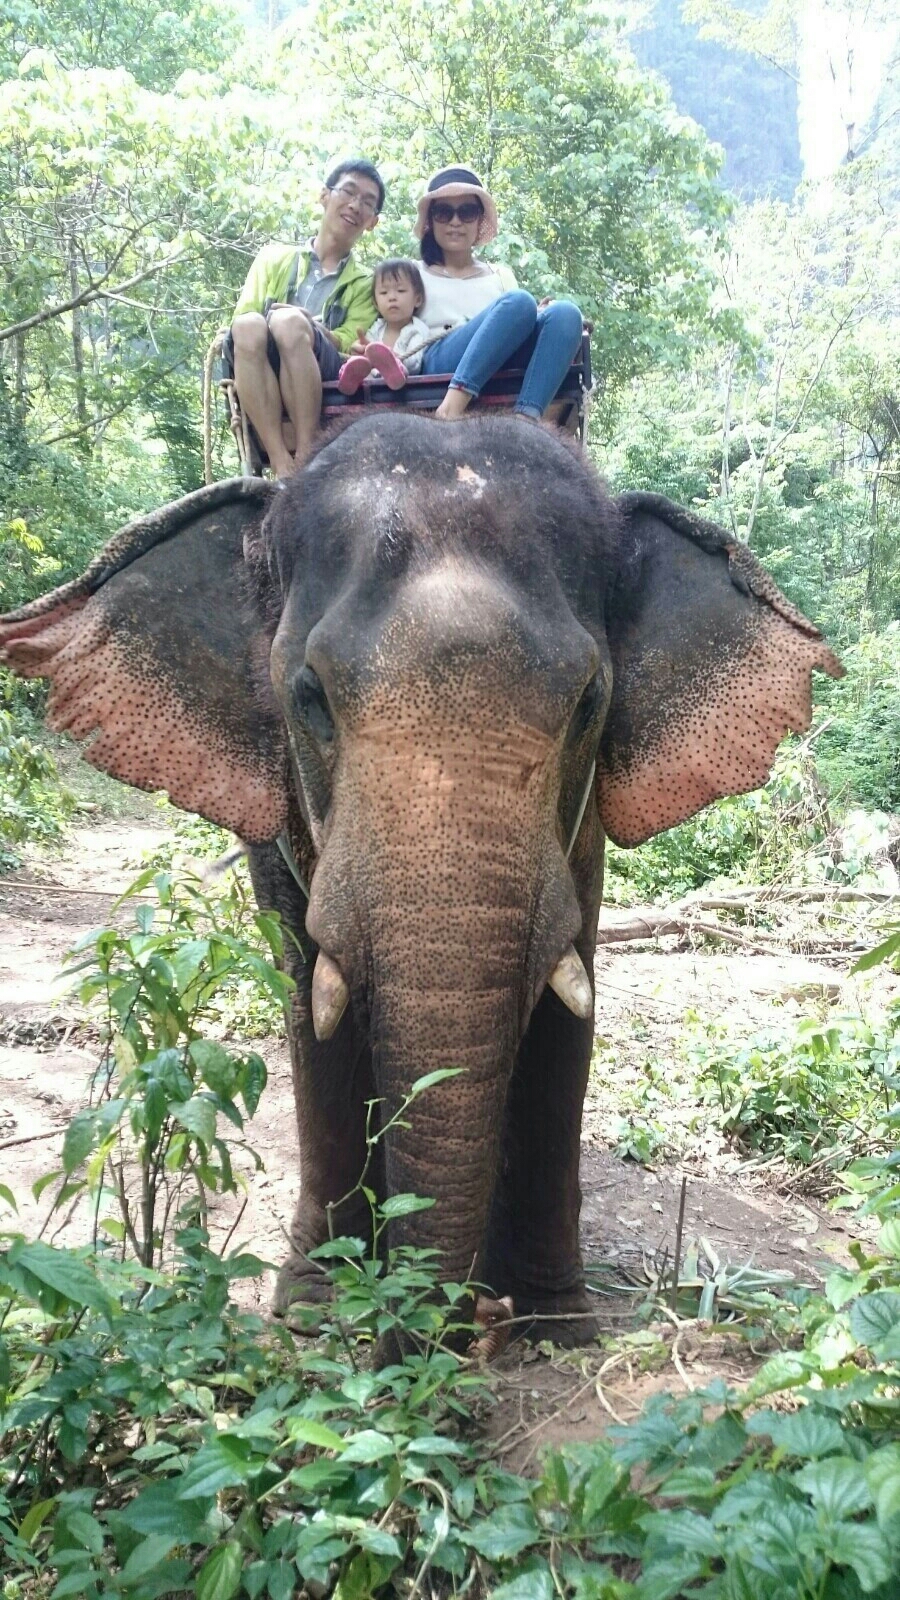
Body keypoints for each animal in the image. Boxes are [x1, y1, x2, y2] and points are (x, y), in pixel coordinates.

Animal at [0, 412, 839, 1350]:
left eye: (590, 702)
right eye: (309, 697)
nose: (465, 1325)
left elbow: (568, 1001)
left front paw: (556, 1325)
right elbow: (310, 1002)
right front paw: (317, 1312)